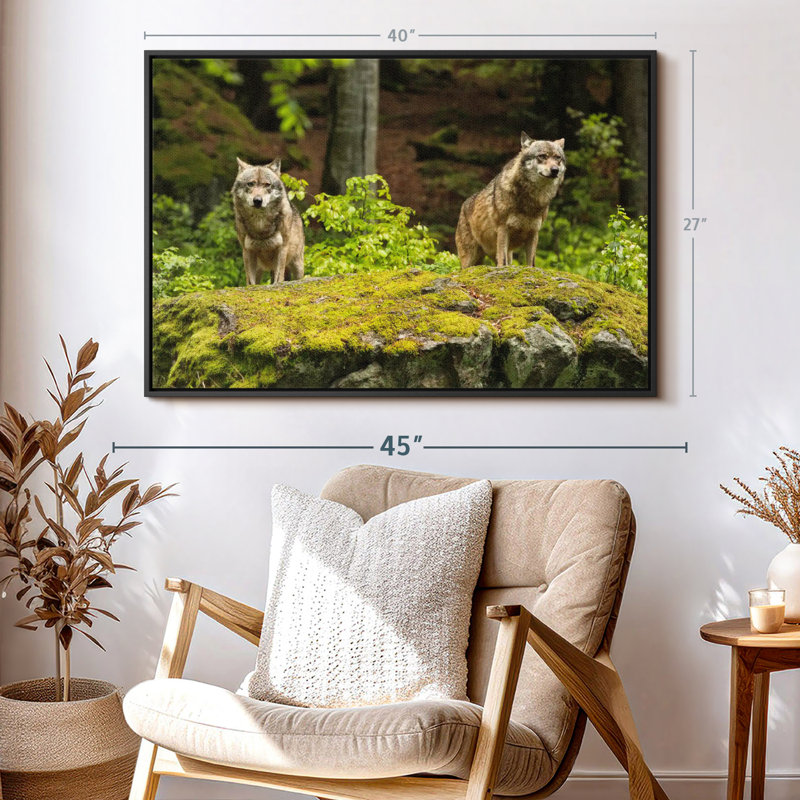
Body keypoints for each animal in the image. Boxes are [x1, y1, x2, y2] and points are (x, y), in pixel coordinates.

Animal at [231, 157, 305, 285]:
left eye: (267, 185)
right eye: (250, 184)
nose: (257, 200)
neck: (260, 223)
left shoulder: (281, 248)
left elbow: (278, 278)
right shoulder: (247, 250)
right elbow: (250, 282)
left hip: (297, 265)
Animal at [455, 133, 566, 268]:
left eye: (557, 158)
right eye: (542, 156)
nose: (555, 170)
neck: (530, 199)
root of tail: (463, 206)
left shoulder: (534, 232)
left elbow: (531, 263)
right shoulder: (503, 229)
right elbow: (502, 263)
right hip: (470, 260)